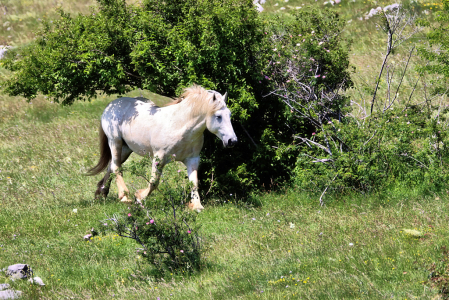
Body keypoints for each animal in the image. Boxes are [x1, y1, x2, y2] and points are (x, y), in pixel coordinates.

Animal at [86, 84, 236, 211]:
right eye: (218, 116)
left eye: (229, 115)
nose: (232, 141)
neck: (180, 126)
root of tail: (111, 105)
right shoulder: (159, 157)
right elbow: (154, 182)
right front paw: (139, 197)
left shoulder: (192, 159)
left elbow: (194, 183)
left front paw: (196, 206)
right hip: (115, 142)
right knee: (117, 167)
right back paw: (124, 196)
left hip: (126, 149)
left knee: (111, 165)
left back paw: (102, 193)